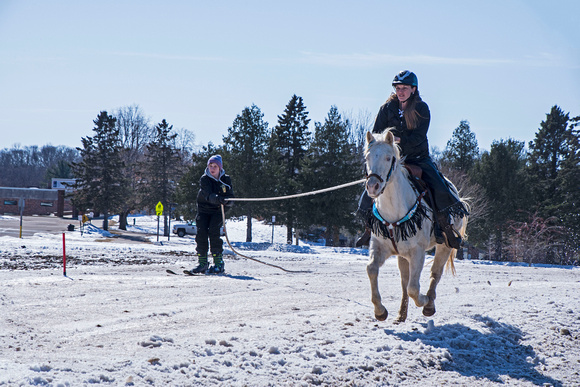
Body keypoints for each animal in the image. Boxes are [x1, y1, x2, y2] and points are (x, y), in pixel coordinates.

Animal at [364, 131, 468, 324]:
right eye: (367, 157)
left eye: (388, 158)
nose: (373, 186)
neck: (394, 210)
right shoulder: (379, 247)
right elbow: (372, 269)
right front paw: (380, 311)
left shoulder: (417, 252)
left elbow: (414, 288)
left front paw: (424, 300)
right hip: (402, 255)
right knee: (405, 281)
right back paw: (401, 314)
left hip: (445, 246)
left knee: (435, 273)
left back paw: (429, 305)